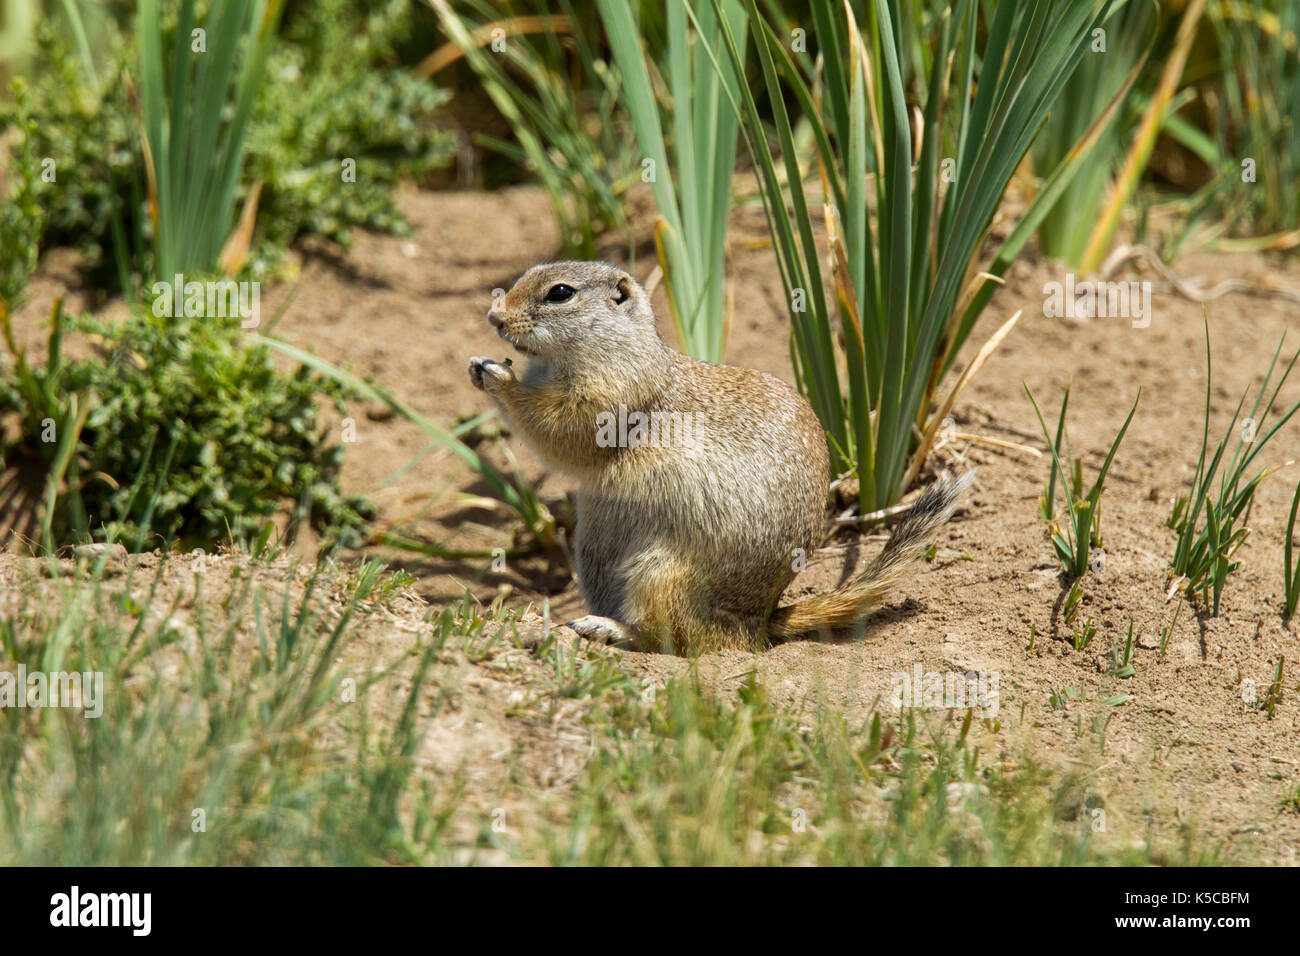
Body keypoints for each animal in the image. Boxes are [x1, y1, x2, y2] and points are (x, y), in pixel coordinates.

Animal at [465, 257, 967, 655]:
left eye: (560, 293)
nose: (493, 316)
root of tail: (757, 624)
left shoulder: (611, 399)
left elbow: (561, 431)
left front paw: (497, 377)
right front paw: (477, 365)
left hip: (661, 574)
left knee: (678, 640)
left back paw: (607, 628)